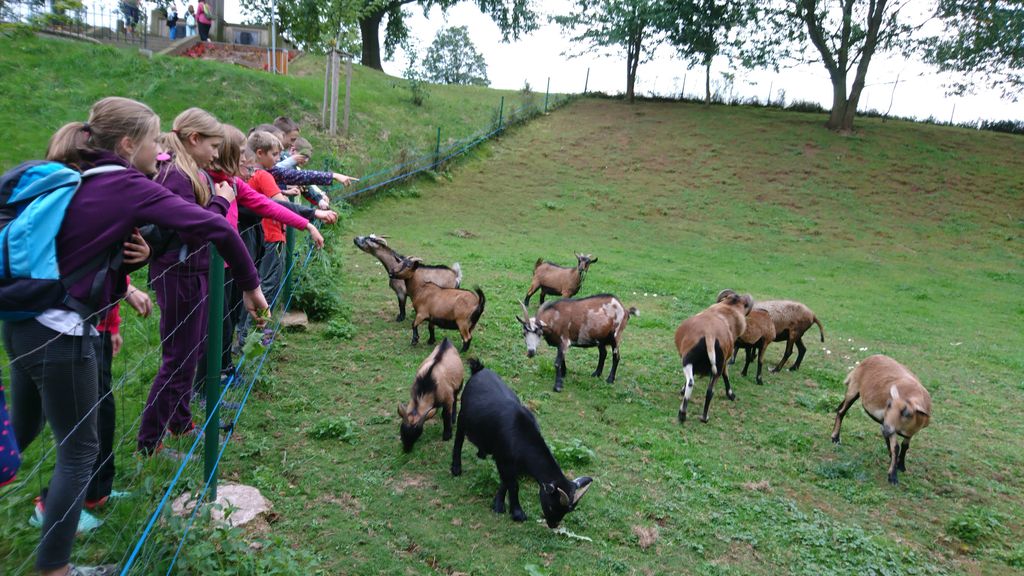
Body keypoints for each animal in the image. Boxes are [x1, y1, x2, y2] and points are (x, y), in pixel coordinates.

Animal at [451, 358, 593, 528]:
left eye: (567, 511)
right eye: (552, 506)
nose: (553, 525)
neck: (521, 435)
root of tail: (479, 370)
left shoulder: (511, 464)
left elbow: (505, 482)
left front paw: (498, 504)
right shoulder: (503, 460)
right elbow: (513, 485)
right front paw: (517, 513)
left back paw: (482, 453)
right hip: (462, 418)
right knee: (458, 441)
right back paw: (456, 468)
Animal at [674, 290, 754, 423]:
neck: (727, 309)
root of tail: (710, 334)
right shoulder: (724, 361)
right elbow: (725, 375)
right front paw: (731, 395)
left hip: (689, 360)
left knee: (691, 382)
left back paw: (683, 414)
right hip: (717, 365)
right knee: (710, 391)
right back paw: (703, 417)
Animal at [831, 354, 932, 485]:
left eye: (906, 412)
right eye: (888, 405)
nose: (885, 428)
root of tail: (872, 356)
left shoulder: (907, 432)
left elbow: (905, 446)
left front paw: (901, 466)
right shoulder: (891, 426)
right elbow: (896, 447)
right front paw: (893, 476)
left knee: (839, 408)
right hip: (853, 388)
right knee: (841, 412)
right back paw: (835, 438)